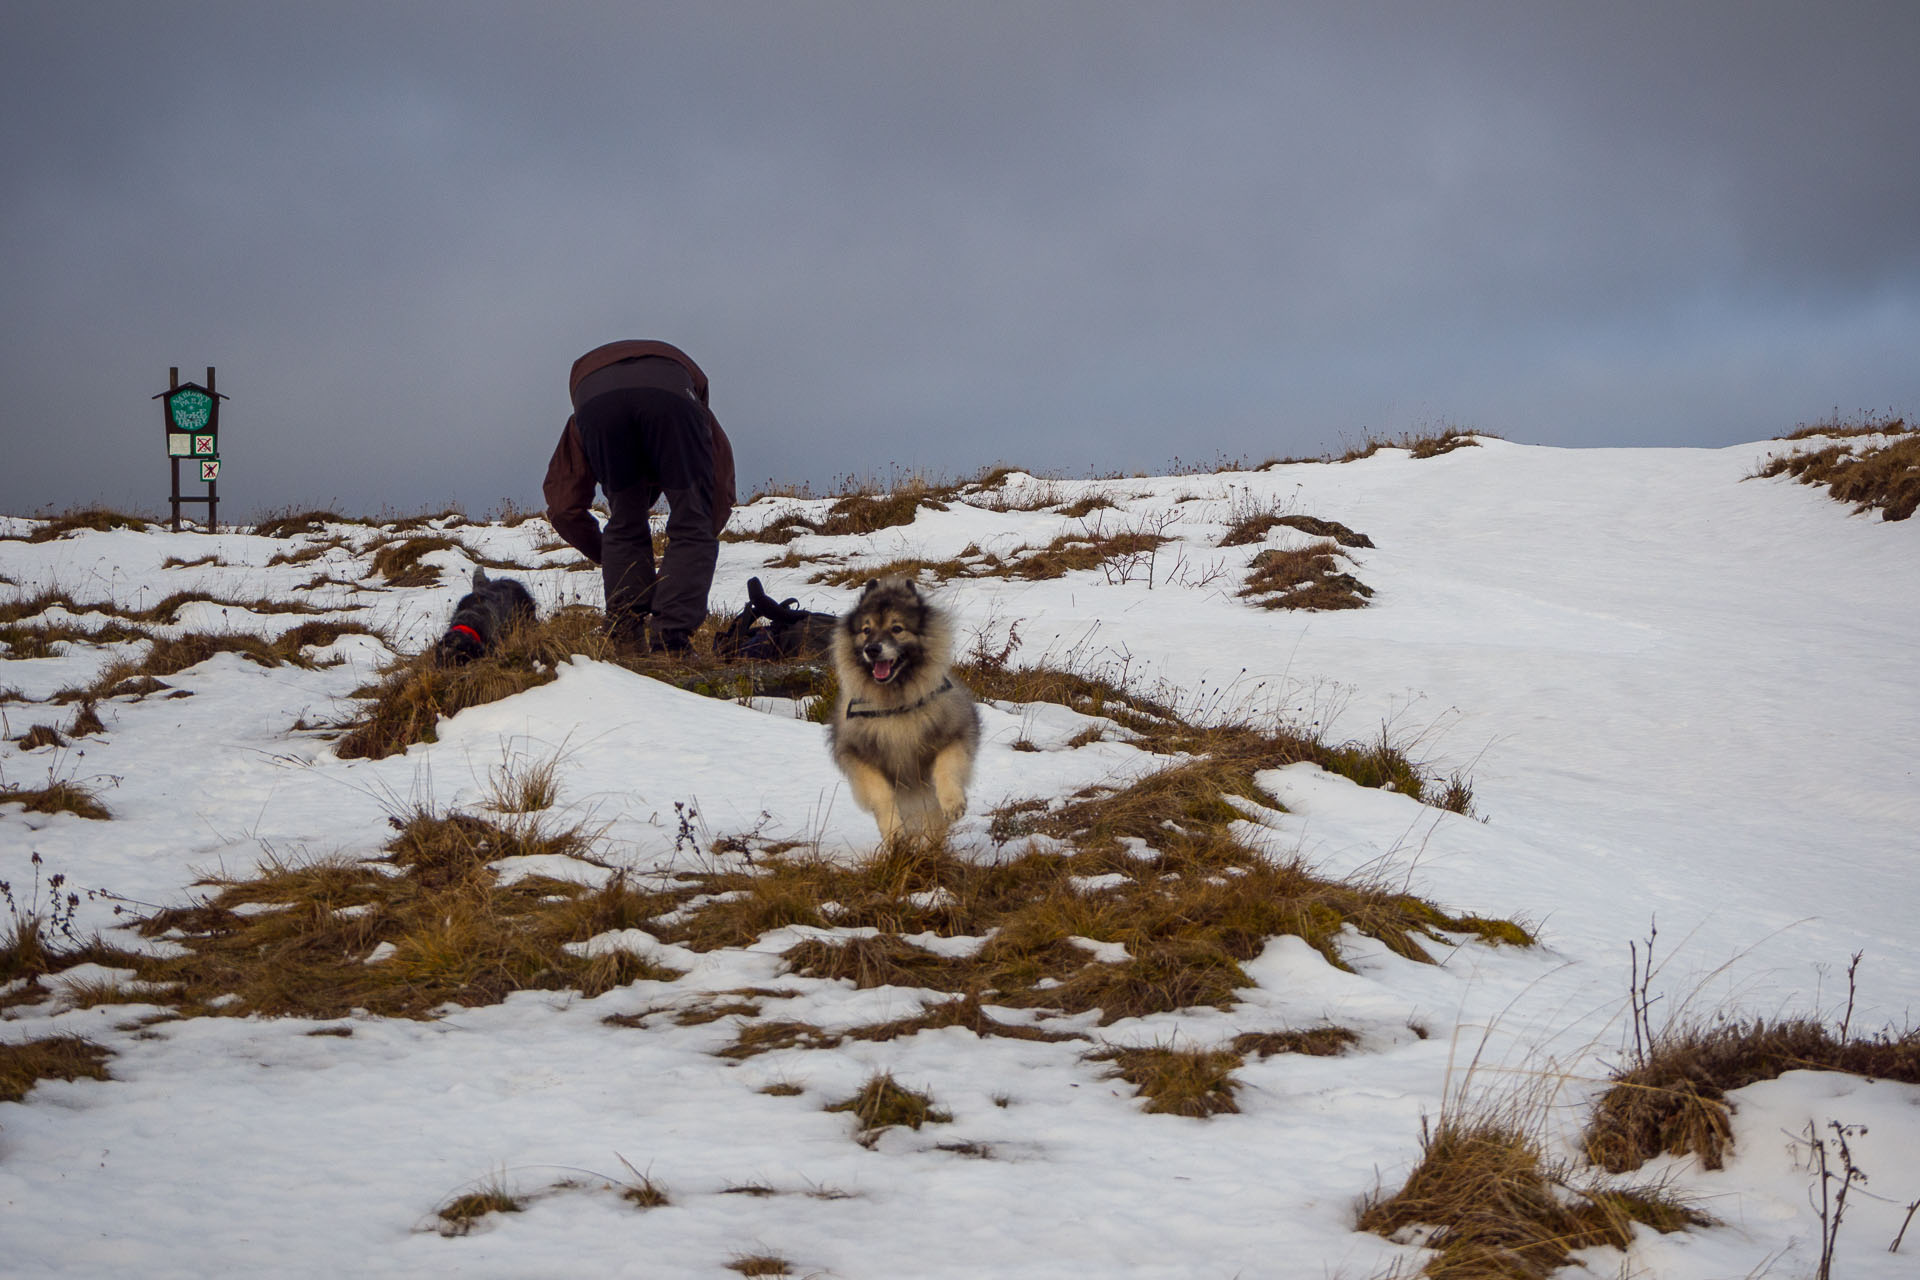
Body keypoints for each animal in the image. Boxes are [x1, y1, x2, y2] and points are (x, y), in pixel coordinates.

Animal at [825, 579, 983, 840]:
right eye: (866, 630)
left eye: (897, 628)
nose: (872, 649)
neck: (895, 703)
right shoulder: (858, 754)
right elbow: (881, 793)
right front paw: (894, 832)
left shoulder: (954, 735)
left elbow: (946, 767)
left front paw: (953, 803)